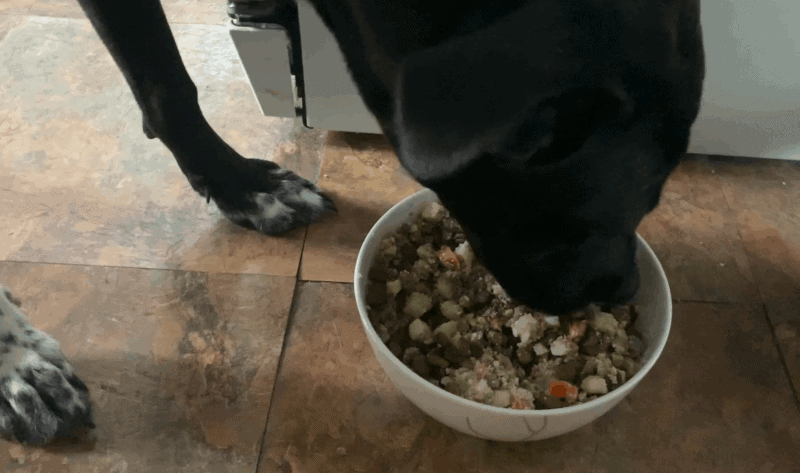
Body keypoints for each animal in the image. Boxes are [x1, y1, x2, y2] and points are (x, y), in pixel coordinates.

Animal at [0, 0, 700, 442]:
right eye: (592, 213)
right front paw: (20, 369)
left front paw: (239, 184)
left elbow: (166, 84)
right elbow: (168, 82)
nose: (627, 292)